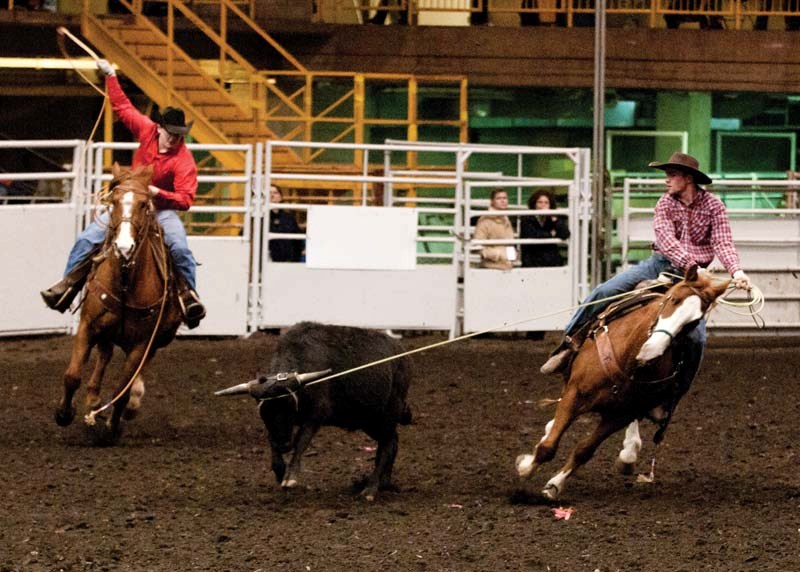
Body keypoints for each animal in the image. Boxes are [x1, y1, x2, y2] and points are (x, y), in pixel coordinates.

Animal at [55, 164, 182, 442]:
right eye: (113, 201)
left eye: (144, 204)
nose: (124, 247)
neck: (125, 281)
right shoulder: (88, 325)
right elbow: (71, 375)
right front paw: (64, 414)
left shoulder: (142, 343)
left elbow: (122, 390)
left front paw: (112, 427)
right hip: (106, 331)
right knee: (104, 355)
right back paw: (93, 399)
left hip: (154, 340)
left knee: (133, 374)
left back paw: (128, 402)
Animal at [512, 268, 732, 496]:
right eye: (672, 299)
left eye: (694, 322)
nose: (650, 351)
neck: (628, 361)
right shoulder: (575, 393)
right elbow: (549, 446)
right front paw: (525, 467)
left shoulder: (620, 416)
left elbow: (585, 450)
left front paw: (555, 484)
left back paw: (629, 454)